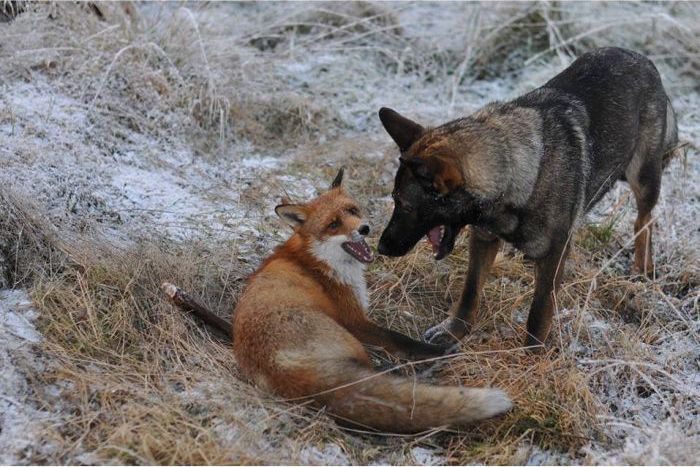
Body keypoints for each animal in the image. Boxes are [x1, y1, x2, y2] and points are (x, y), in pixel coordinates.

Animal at [167, 169, 512, 436]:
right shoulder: (356, 320)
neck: (318, 261)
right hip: (350, 340)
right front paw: (438, 351)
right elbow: (402, 340)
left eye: (353, 211)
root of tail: (283, 371)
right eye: (333, 224)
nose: (365, 229)